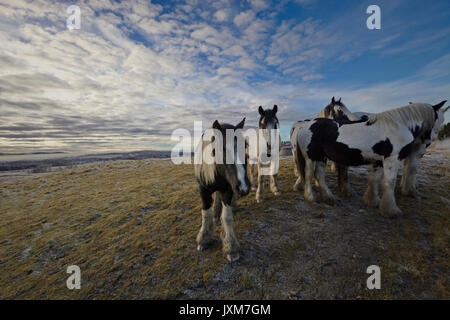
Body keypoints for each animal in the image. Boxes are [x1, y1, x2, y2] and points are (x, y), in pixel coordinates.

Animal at [193, 119, 250, 262]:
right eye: (222, 148)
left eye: (245, 145)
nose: (244, 187)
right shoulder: (203, 190)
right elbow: (205, 214)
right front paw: (203, 240)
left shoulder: (228, 190)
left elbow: (227, 217)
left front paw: (231, 248)